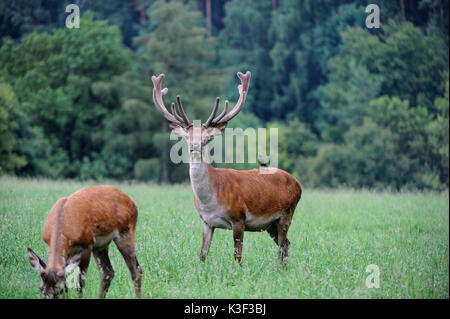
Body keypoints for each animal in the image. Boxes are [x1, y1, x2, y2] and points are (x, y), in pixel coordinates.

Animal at [151, 71, 302, 266]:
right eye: (187, 136)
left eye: (207, 138)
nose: (195, 146)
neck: (210, 201)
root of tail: (298, 184)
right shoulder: (206, 222)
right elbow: (202, 254)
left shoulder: (239, 218)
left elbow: (237, 255)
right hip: (270, 224)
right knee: (287, 244)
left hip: (287, 212)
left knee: (283, 244)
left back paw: (278, 269)